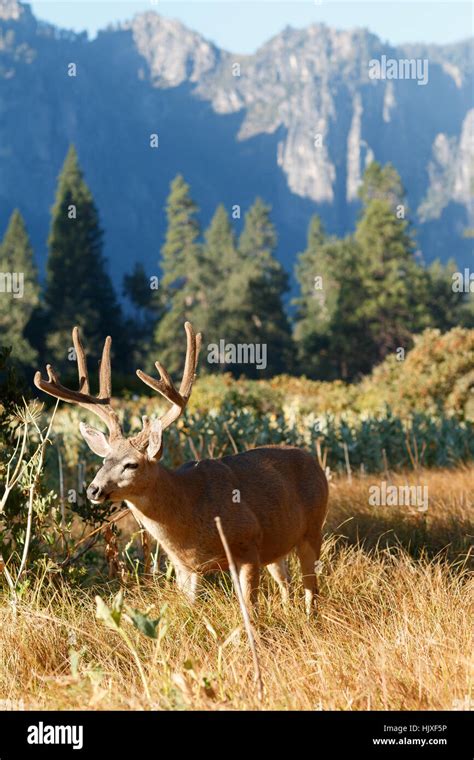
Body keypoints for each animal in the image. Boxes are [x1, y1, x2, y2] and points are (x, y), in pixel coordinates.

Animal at [34, 324, 330, 616]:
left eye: (131, 464)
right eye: (104, 460)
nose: (94, 490)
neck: (191, 509)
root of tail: (314, 461)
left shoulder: (248, 545)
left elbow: (250, 609)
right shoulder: (184, 566)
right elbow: (191, 608)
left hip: (313, 529)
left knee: (311, 589)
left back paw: (309, 618)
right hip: (277, 545)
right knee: (286, 583)